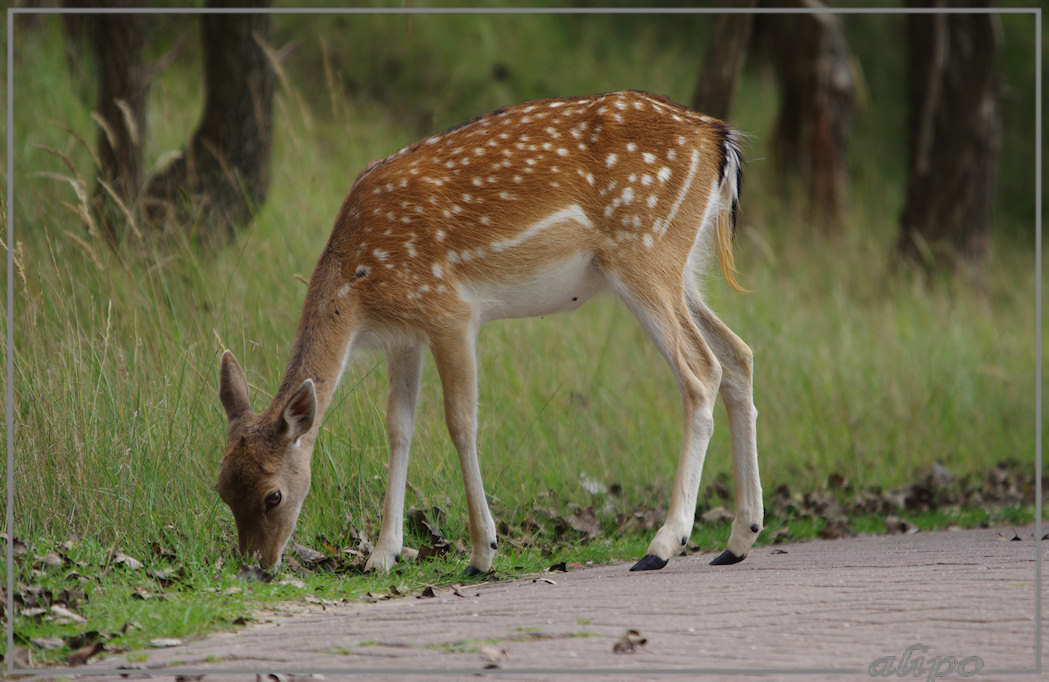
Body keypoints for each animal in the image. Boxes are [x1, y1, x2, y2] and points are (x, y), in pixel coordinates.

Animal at [217, 87, 767, 570]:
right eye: (221, 488)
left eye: (273, 495)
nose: (255, 567)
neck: (358, 287)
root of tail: (719, 138)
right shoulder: (404, 337)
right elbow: (398, 428)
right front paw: (382, 556)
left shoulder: (450, 311)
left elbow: (461, 422)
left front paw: (483, 552)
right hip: (684, 266)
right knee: (738, 354)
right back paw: (739, 538)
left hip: (644, 250)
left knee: (702, 372)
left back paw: (664, 544)